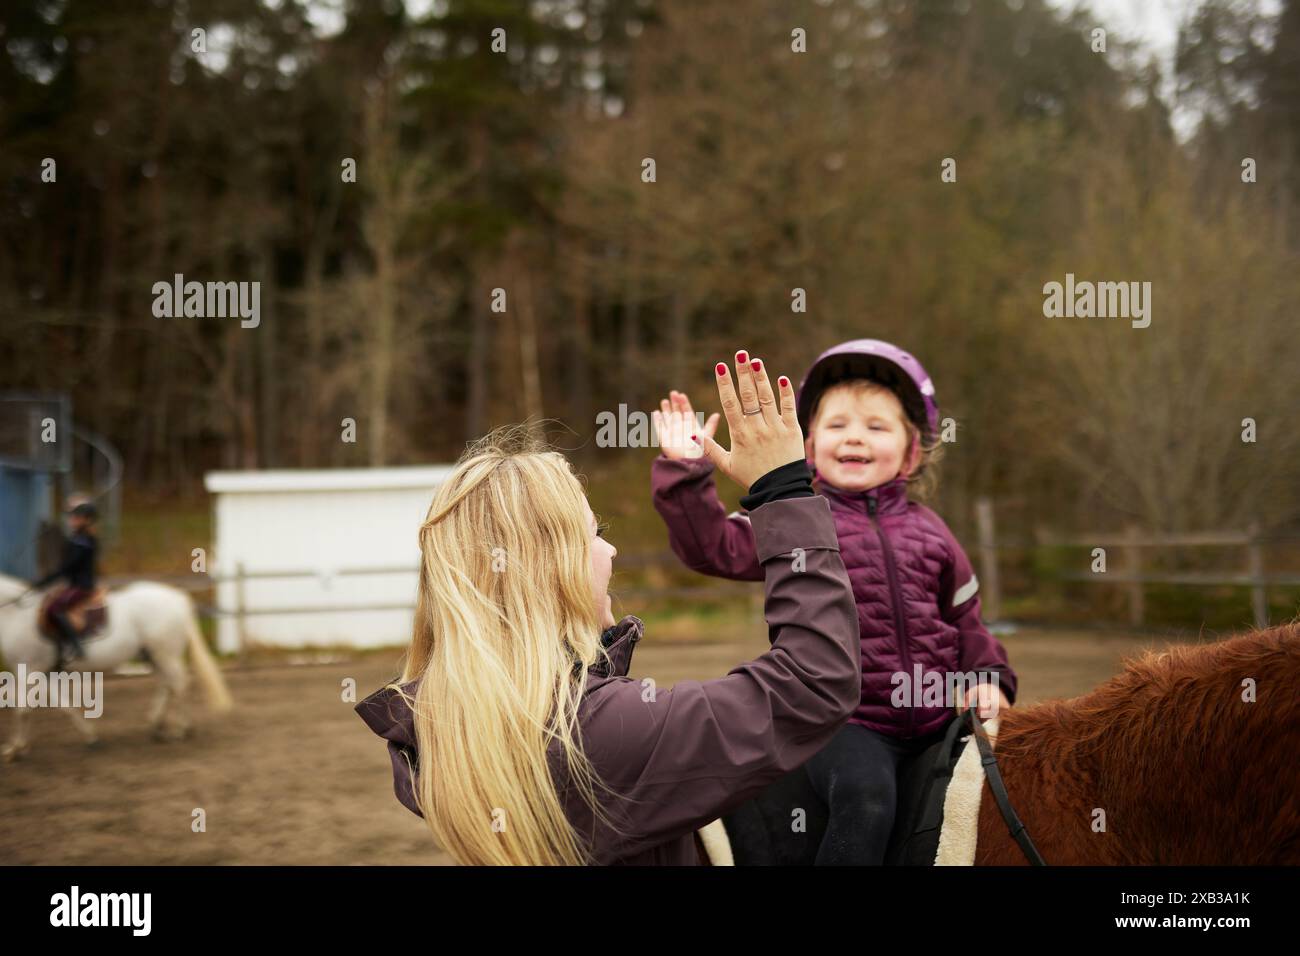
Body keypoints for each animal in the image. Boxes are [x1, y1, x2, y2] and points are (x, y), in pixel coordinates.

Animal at [0, 567, 231, 764]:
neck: (16, 615)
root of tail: (178, 599)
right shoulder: (45, 673)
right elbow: (64, 706)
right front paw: (90, 737)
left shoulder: (29, 669)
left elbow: (23, 709)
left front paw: (14, 750)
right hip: (154, 655)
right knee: (167, 684)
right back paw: (157, 725)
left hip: (165, 654)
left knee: (179, 684)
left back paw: (180, 731)